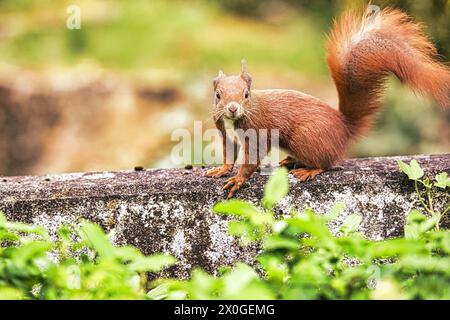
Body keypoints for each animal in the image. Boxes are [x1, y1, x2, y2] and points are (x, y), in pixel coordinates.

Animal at [206, 6, 448, 199]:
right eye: (217, 95)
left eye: (246, 94)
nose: (233, 108)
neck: (235, 119)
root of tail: (344, 128)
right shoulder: (225, 131)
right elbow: (229, 153)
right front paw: (222, 170)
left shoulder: (257, 129)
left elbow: (252, 157)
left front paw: (238, 180)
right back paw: (292, 161)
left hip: (306, 138)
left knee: (327, 163)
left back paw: (309, 169)